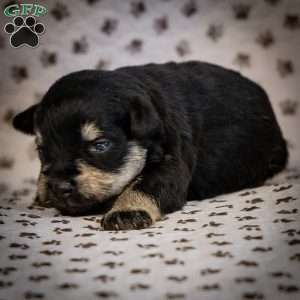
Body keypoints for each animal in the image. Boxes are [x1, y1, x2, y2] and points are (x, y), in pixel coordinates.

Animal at [12, 61, 288, 230]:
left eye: (100, 145)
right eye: (41, 150)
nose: (58, 187)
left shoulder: (171, 163)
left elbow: (146, 184)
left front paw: (126, 212)